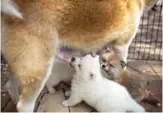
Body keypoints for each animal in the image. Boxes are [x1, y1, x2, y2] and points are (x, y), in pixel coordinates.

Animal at [0, 0, 157, 111]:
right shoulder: (122, 46)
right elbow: (123, 66)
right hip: (39, 67)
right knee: (24, 104)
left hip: (23, 64)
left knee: (10, 86)